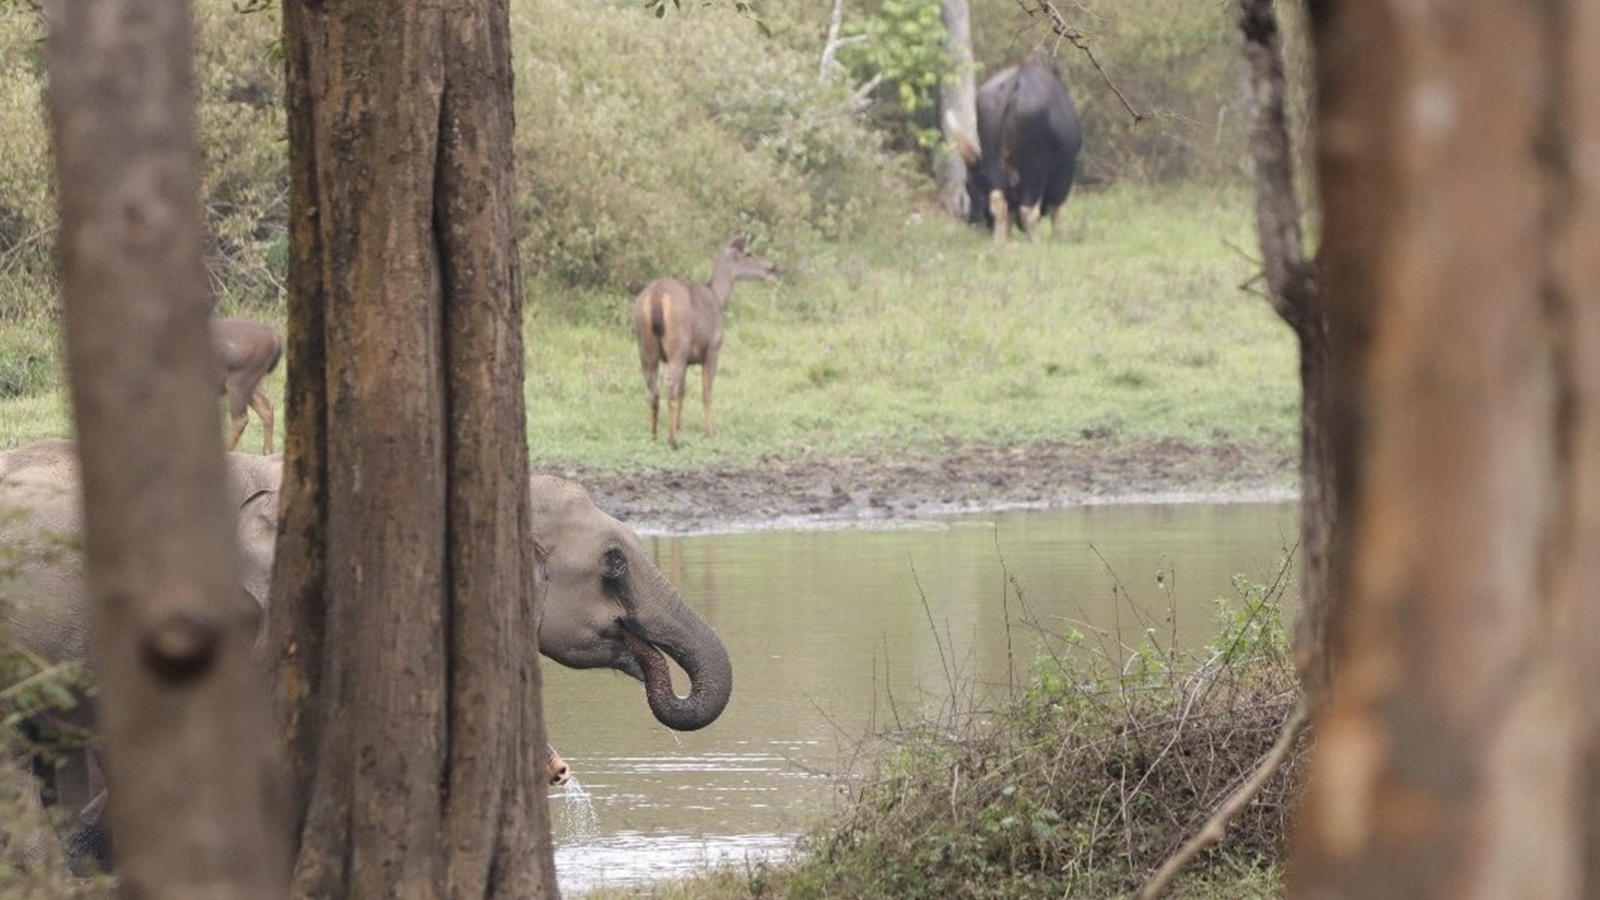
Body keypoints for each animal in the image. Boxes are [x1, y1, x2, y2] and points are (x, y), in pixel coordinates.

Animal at [211, 317, 283, 454]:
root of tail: (276, 338)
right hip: (253, 384)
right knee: (266, 408)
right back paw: (267, 451)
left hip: (238, 382)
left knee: (241, 418)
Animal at [630, 237, 774, 445]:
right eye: (749, 253)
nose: (773, 268)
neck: (718, 297)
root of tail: (656, 296)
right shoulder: (713, 350)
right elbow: (707, 392)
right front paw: (709, 432)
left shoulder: (688, 360)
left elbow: (684, 391)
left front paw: (679, 425)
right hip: (677, 347)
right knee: (670, 386)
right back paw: (672, 440)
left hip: (646, 348)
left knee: (654, 390)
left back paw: (654, 435)